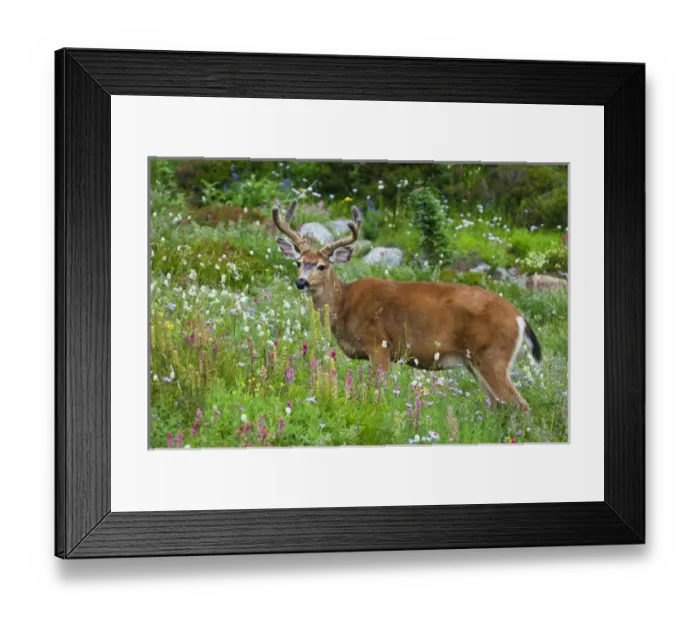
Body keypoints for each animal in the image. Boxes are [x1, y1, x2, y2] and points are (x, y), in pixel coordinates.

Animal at [272, 200, 542, 412]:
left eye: (321, 266)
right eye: (298, 262)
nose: (301, 282)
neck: (344, 305)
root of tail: (519, 317)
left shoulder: (378, 343)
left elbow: (379, 390)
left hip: (492, 356)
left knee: (521, 405)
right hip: (476, 362)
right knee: (498, 405)